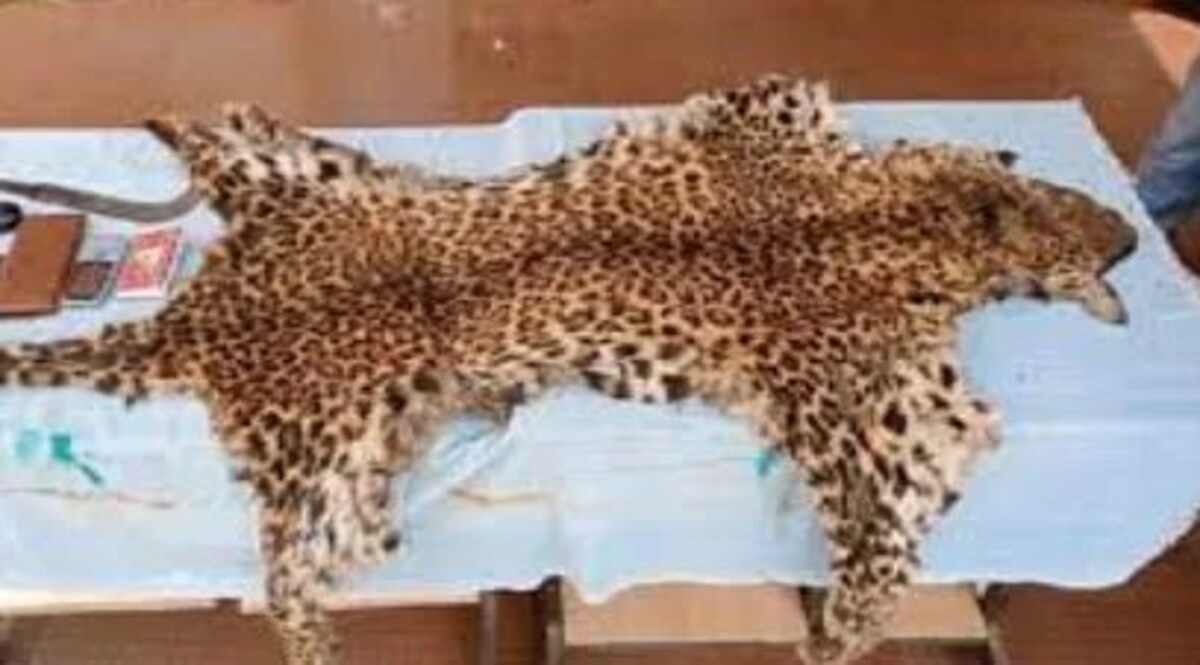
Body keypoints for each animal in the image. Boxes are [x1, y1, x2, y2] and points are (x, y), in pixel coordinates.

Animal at [0, 76, 1137, 664]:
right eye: (1096, 228)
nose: (1129, 234)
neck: (921, 223)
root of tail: (204, 312)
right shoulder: (882, 409)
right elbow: (884, 538)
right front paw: (845, 633)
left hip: (320, 198)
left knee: (233, 140)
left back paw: (179, 126)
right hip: (332, 468)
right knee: (287, 587)